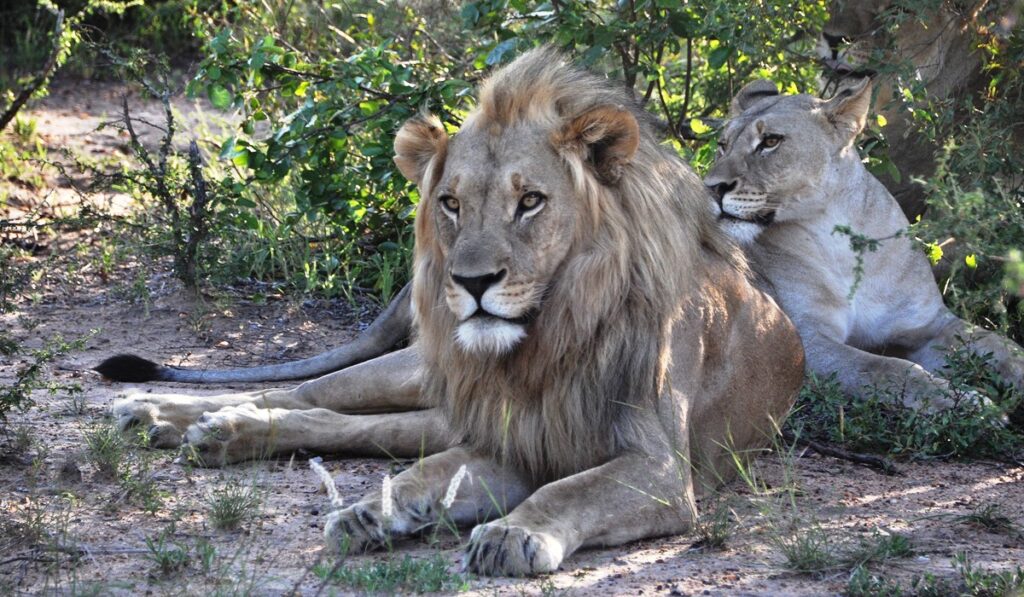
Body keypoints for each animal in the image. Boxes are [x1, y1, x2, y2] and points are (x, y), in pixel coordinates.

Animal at [105, 49, 806, 577]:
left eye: (530, 201)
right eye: (450, 203)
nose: (471, 282)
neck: (549, 338)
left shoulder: (659, 468)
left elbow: (566, 488)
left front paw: (507, 534)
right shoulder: (515, 437)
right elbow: (438, 470)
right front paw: (374, 511)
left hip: (436, 408)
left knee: (347, 424)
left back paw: (214, 431)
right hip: (413, 373)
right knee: (307, 395)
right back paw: (167, 416)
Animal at [704, 77, 1024, 415]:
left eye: (770, 141)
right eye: (723, 145)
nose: (712, 188)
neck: (837, 239)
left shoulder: (927, 324)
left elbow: (999, 344)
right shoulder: (801, 340)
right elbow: (887, 368)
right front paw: (972, 404)